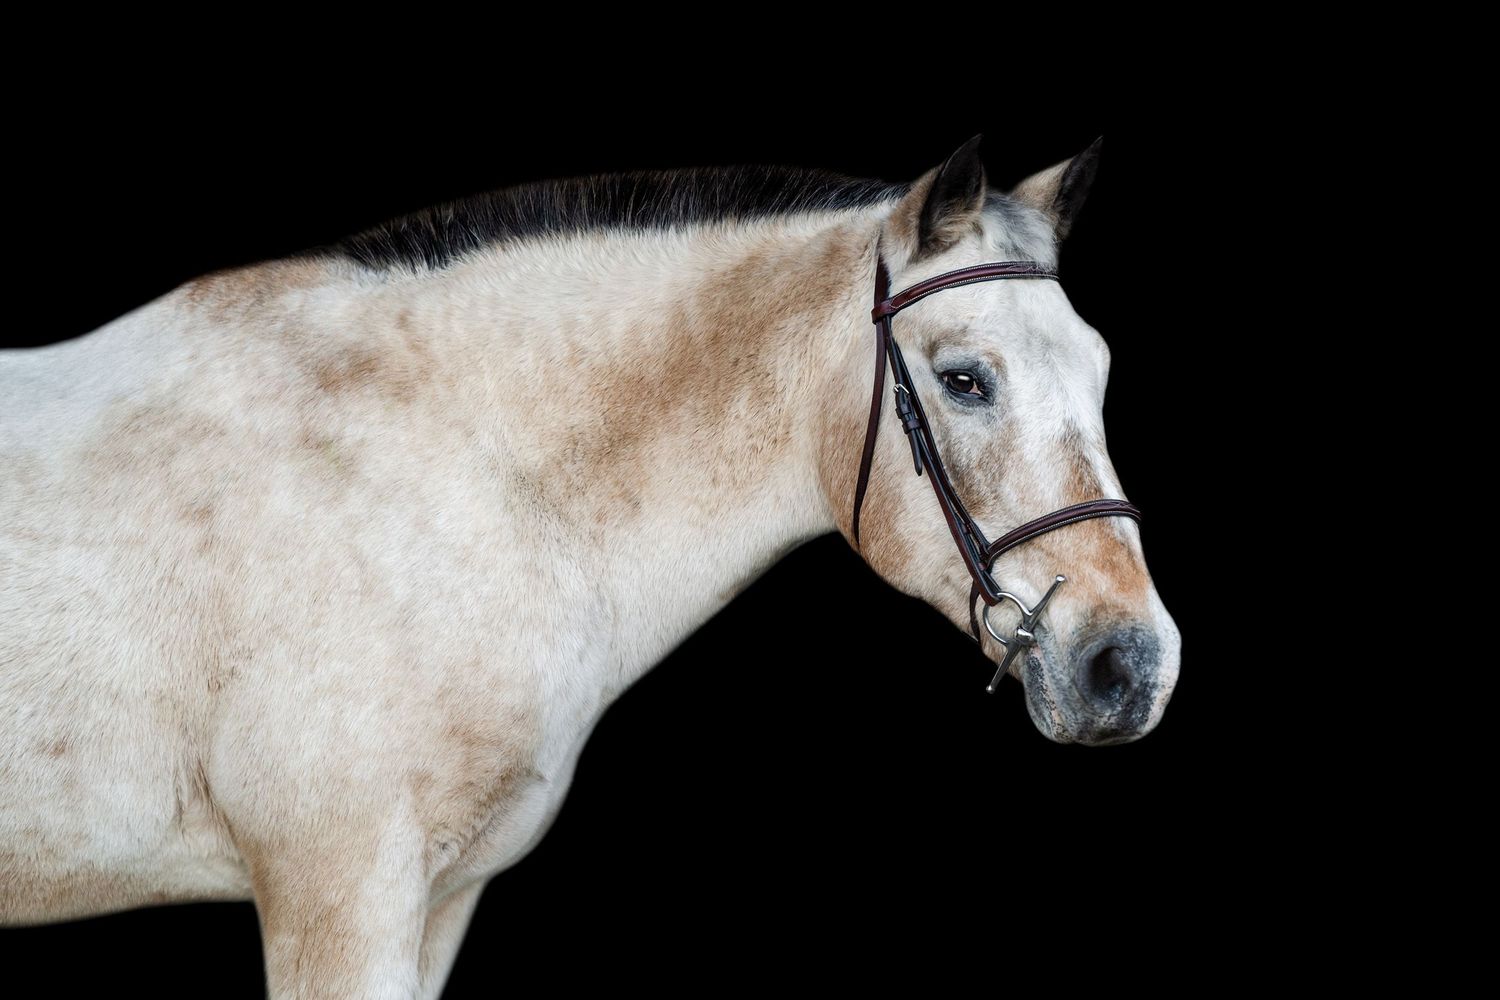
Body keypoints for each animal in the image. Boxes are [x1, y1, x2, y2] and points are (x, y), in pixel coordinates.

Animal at [1, 134, 1181, 997]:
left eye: (1100, 366)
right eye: (965, 377)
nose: (1132, 664)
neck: (451, 466)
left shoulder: (440, 900)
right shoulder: (337, 897)